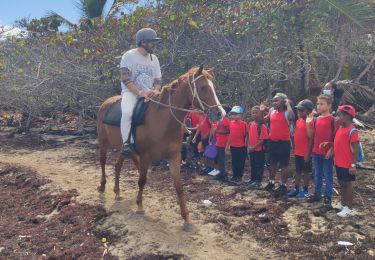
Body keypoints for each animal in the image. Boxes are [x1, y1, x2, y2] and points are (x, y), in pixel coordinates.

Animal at [97, 65, 226, 232]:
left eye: (213, 87)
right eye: (203, 87)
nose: (220, 113)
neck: (163, 120)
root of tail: (105, 103)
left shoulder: (174, 157)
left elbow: (179, 187)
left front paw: (186, 219)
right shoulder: (145, 156)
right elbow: (142, 180)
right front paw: (140, 206)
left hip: (123, 148)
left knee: (118, 166)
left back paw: (117, 192)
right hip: (104, 142)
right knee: (102, 161)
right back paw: (102, 186)